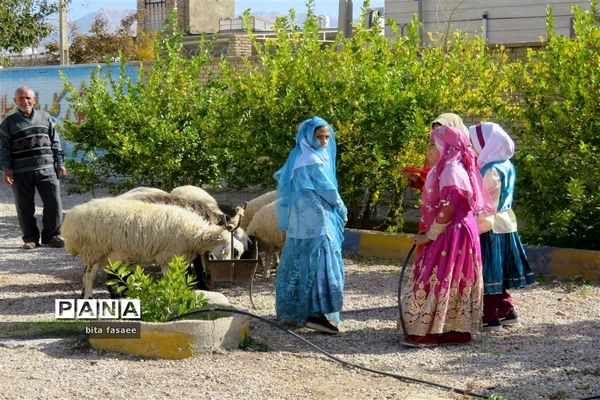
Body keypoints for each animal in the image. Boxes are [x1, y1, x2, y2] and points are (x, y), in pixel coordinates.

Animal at [63, 198, 232, 298]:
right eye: (227, 248)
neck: (195, 234)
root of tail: (72, 216)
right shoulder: (168, 256)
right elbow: (170, 277)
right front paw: (171, 292)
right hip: (94, 249)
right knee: (89, 276)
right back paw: (89, 296)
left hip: (104, 253)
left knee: (89, 275)